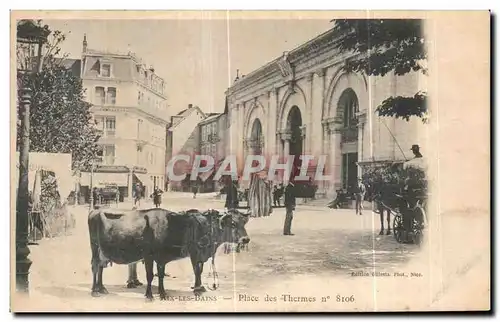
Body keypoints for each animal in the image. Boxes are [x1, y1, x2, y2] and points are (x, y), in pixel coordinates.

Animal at [87, 208, 250, 300]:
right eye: (233, 224)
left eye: (244, 222)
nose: (246, 239)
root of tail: (95, 211)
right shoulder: (151, 255)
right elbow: (151, 275)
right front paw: (150, 295)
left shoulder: (162, 258)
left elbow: (161, 274)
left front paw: (163, 293)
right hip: (95, 247)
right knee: (95, 267)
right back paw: (94, 290)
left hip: (102, 251)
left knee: (100, 267)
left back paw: (102, 288)